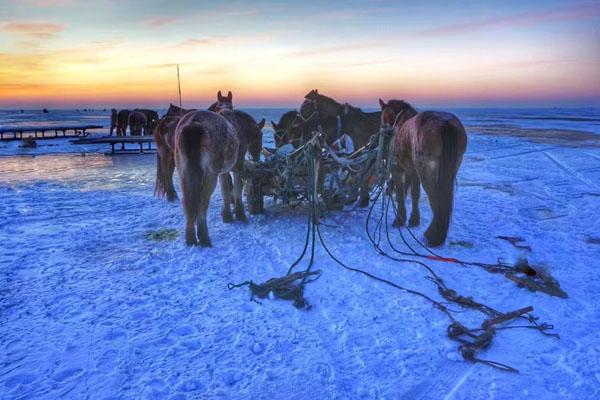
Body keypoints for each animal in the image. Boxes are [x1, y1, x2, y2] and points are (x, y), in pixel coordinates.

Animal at [173, 110, 239, 247]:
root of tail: (193, 123)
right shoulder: (225, 170)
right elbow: (228, 189)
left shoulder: (222, 172)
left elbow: (226, 188)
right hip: (209, 175)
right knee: (202, 202)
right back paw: (204, 238)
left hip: (184, 173)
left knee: (188, 202)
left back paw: (191, 238)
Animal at [380, 99, 468, 247]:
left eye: (383, 116)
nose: (384, 134)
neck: (400, 123)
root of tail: (445, 124)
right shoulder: (414, 173)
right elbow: (415, 194)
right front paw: (414, 220)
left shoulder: (398, 170)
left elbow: (400, 193)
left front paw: (400, 219)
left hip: (428, 173)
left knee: (435, 199)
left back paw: (432, 236)